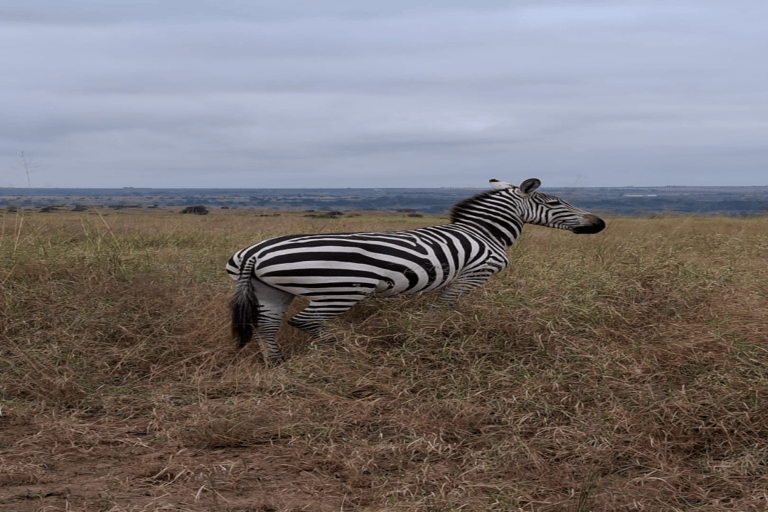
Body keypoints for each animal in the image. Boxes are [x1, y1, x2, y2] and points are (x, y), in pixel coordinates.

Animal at [226, 178, 608, 362]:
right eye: (555, 202)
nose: (600, 224)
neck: (484, 233)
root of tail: (254, 253)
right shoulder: (473, 273)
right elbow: (445, 307)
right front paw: (433, 333)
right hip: (339, 290)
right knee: (306, 321)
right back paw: (346, 350)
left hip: (271, 292)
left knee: (266, 326)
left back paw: (277, 363)